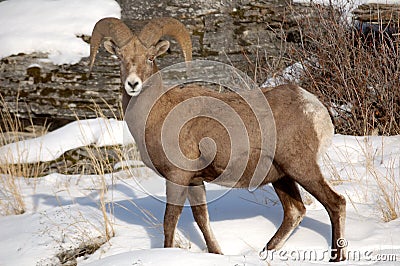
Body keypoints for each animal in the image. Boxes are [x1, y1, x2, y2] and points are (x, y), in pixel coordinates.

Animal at [89, 17, 346, 262]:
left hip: (301, 168)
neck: (156, 113)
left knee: (336, 203)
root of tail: (314, 107)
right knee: (295, 211)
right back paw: (264, 253)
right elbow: (202, 219)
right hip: (281, 176)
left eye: (150, 57)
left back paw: (336, 258)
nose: (133, 84)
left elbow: (170, 220)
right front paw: (217, 254)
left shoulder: (177, 177)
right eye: (120, 58)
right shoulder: (195, 181)